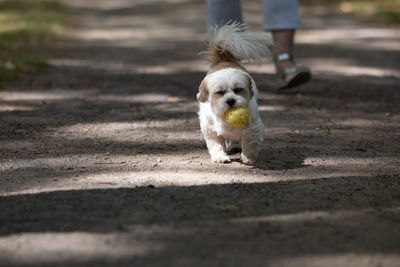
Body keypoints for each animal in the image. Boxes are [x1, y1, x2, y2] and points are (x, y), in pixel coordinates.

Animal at [197, 23, 272, 165]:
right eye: (220, 92)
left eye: (238, 90)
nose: (231, 100)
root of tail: (225, 60)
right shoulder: (210, 129)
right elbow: (216, 144)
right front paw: (220, 156)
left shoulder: (254, 127)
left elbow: (250, 141)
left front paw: (248, 157)